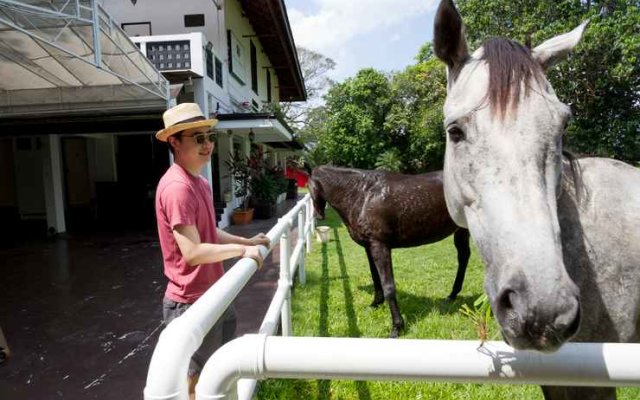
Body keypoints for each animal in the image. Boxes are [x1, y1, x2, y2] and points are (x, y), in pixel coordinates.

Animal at [310, 166, 470, 338]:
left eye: (309, 185)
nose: (318, 215)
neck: (361, 194)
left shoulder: (381, 247)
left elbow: (388, 286)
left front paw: (397, 327)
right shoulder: (369, 247)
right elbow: (376, 278)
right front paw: (375, 304)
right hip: (461, 230)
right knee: (463, 258)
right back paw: (452, 295)